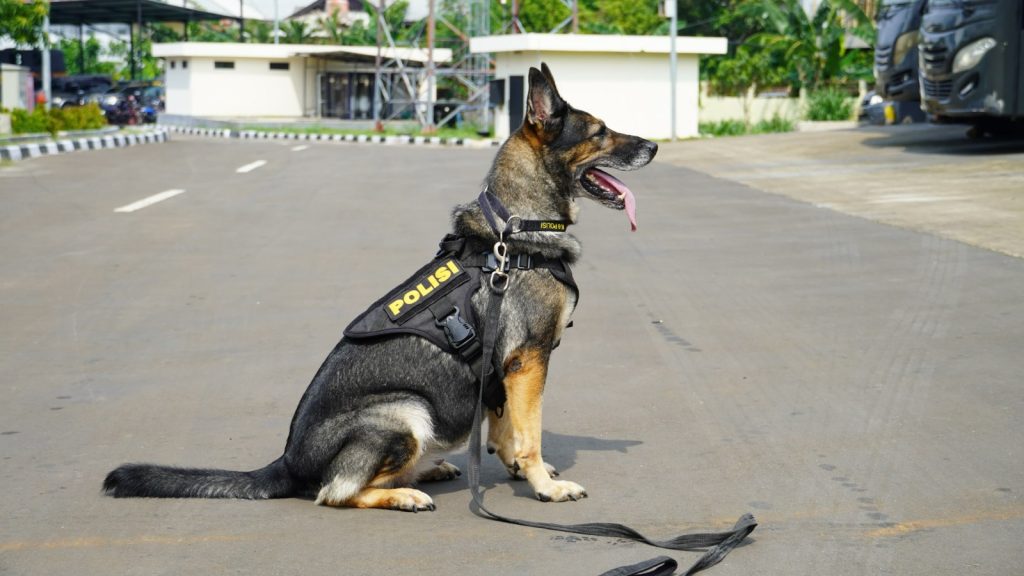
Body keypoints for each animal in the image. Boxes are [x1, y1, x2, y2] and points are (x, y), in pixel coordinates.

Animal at [103, 62, 659, 508]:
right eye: (600, 132)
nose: (654, 146)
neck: (515, 228)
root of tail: (287, 461)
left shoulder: (505, 372)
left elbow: (507, 431)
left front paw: (522, 472)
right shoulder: (529, 361)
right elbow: (530, 435)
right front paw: (544, 484)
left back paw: (424, 471)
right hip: (406, 412)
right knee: (334, 492)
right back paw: (404, 493)